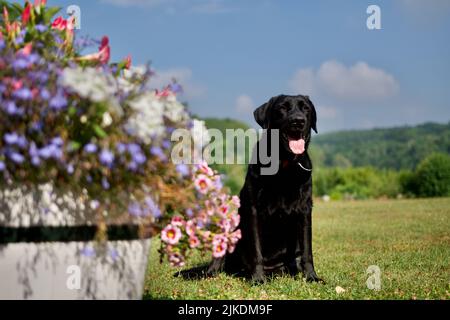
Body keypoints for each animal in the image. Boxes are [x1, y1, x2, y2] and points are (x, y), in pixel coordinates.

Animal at [181, 94, 322, 282]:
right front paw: (258, 278)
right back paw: (211, 273)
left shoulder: (305, 210)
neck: (283, 166)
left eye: (305, 108)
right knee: (218, 260)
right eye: (282, 108)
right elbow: (256, 251)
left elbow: (308, 250)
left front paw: (312, 276)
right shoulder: (254, 210)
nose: (298, 120)